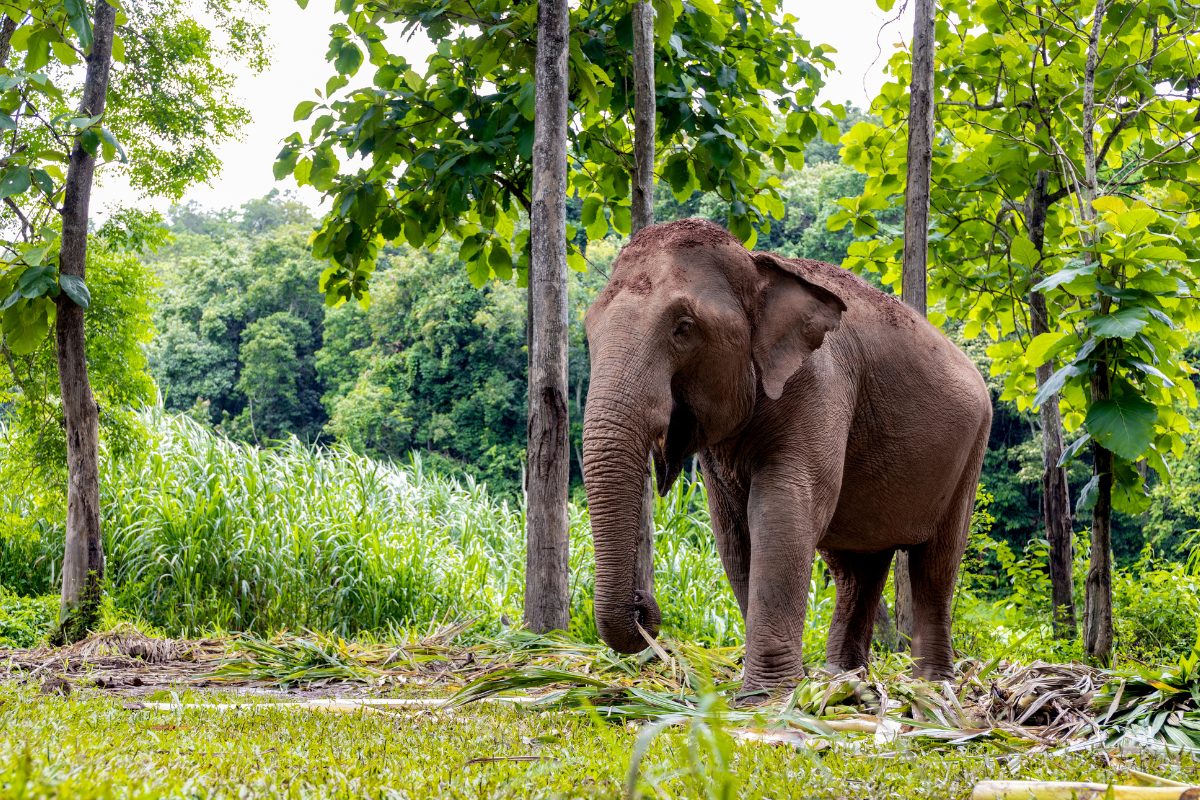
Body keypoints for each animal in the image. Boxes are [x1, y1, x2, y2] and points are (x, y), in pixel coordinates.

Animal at [581, 218, 992, 692]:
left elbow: (783, 508)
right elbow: (732, 530)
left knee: (936, 563)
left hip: (971, 449)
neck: (759, 264)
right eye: (588, 329)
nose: (643, 605)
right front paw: (783, 690)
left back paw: (930, 685)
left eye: (683, 327)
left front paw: (767, 695)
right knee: (856, 569)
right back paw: (842, 678)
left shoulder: (821, 383)